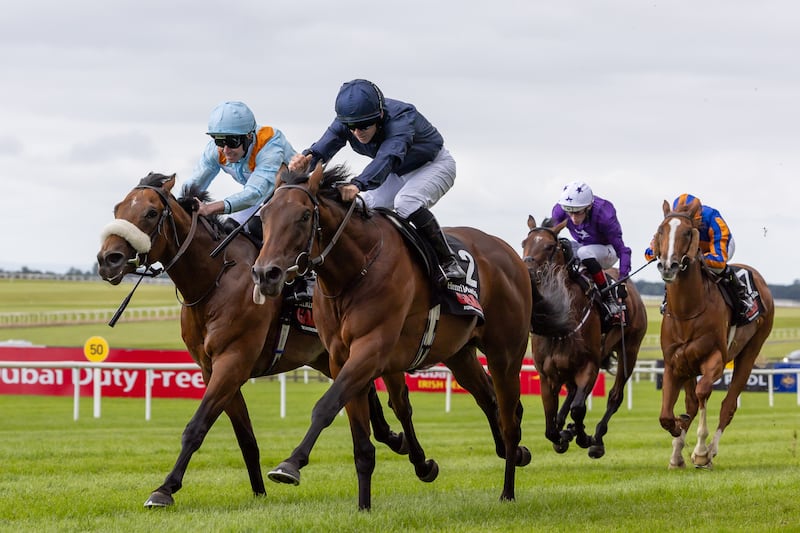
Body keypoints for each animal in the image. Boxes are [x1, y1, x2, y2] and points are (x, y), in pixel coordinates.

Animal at [96, 171, 410, 508]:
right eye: (117, 209)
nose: (108, 259)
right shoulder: (213, 368)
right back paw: (394, 438)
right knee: (363, 392)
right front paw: (259, 493)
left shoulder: (232, 361)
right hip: (326, 356)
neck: (214, 279)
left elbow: (196, 426)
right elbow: (245, 438)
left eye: (151, 213)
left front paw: (165, 489)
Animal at [250, 164, 536, 510]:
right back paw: (512, 455)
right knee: (487, 398)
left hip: (505, 353)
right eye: (264, 215)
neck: (353, 272)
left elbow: (326, 406)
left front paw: (291, 464)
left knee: (509, 418)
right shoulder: (341, 357)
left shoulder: (371, 349)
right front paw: (364, 506)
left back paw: (508, 489)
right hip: (460, 355)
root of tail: (510, 252)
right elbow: (361, 441)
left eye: (305, 216)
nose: (266, 274)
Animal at [520, 215, 648, 458]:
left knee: (614, 396)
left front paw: (584, 437)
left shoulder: (589, 365)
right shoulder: (546, 374)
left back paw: (596, 437)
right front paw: (563, 433)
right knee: (571, 392)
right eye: (525, 243)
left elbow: (579, 408)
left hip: (630, 350)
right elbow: (550, 426)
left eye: (549, 246)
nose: (527, 271)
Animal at [648, 198, 776, 466]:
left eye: (688, 232)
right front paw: (677, 430)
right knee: (691, 403)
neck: (687, 310)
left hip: (751, 351)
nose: (668, 266)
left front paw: (699, 450)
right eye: (660, 231)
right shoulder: (674, 362)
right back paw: (677, 452)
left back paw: (709, 452)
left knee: (728, 404)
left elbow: (703, 393)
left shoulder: (715, 359)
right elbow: (667, 414)